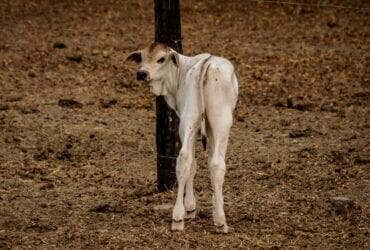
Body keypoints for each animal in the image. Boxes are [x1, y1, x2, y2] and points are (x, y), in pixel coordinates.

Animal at [125, 43, 238, 232]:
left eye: (161, 59)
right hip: (219, 121)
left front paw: (191, 207)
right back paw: (218, 220)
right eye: (141, 57)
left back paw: (180, 216)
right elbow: (200, 163)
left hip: (192, 119)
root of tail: (206, 64)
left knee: (187, 159)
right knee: (214, 163)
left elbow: (192, 164)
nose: (142, 73)